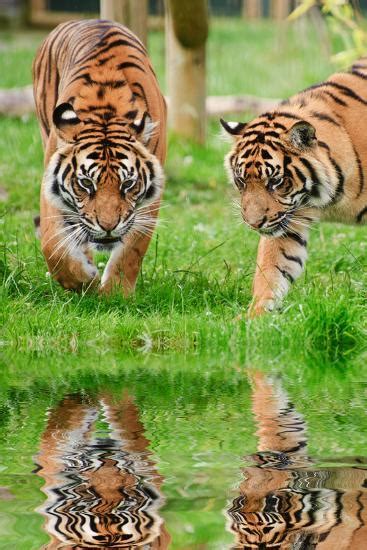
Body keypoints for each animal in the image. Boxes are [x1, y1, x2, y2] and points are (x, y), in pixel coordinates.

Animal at [33, 20, 167, 298]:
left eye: (128, 184)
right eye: (85, 183)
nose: (107, 227)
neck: (106, 111)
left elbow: (132, 249)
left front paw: (115, 294)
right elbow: (53, 243)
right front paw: (83, 281)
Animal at [223, 58, 367, 316]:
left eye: (275, 181)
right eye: (241, 181)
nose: (253, 224)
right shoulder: (289, 219)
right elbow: (272, 268)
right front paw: (254, 318)